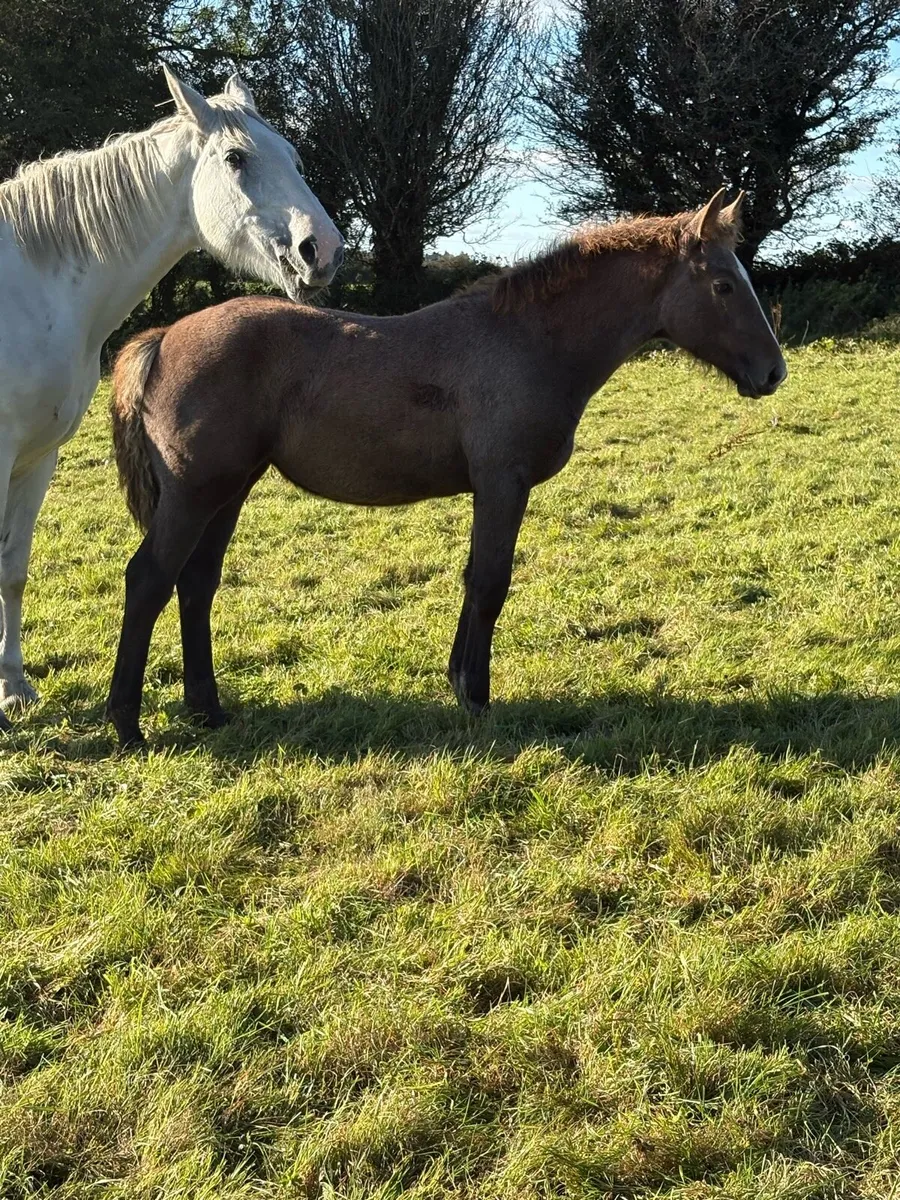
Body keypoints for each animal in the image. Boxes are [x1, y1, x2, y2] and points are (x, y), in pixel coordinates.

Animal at [0, 65, 344, 730]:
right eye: (236, 159)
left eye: (293, 156)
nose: (323, 249)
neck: (31, 289)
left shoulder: (36, 458)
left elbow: (12, 568)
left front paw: (13, 688)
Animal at [106, 188, 786, 749]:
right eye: (724, 285)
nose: (773, 372)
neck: (529, 341)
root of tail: (162, 337)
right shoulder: (503, 483)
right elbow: (490, 583)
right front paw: (475, 697)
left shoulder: (492, 489)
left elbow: (473, 580)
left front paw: (460, 680)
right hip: (194, 495)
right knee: (149, 580)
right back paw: (128, 725)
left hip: (228, 493)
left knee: (196, 584)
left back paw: (208, 710)